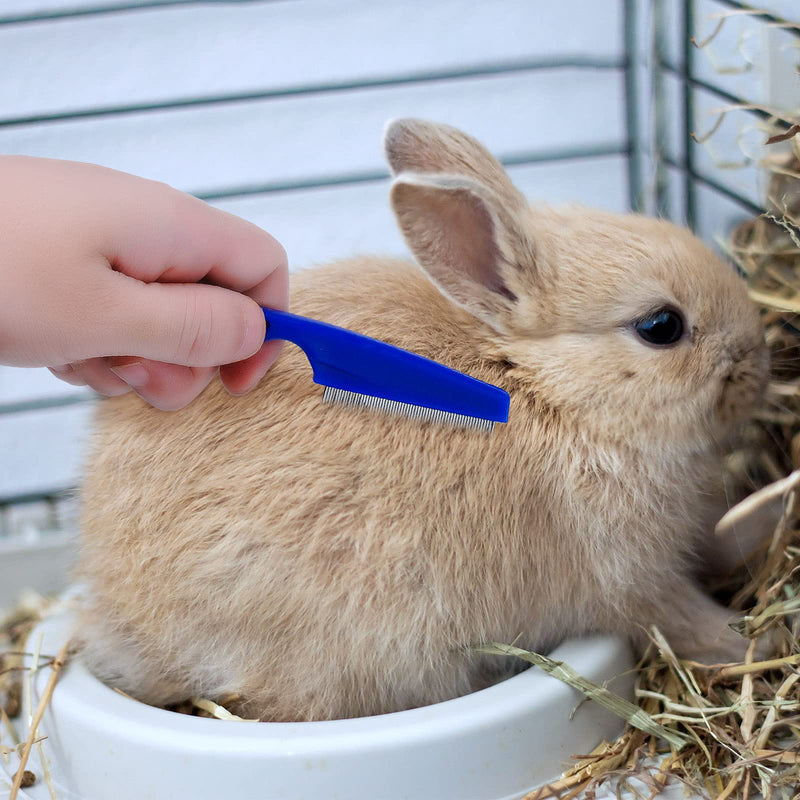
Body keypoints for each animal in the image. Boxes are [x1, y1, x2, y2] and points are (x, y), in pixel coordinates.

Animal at [79, 120, 768, 724]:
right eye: (661, 326)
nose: (757, 363)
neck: (546, 388)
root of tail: (124, 619)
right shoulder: (631, 578)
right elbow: (681, 617)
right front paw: (744, 641)